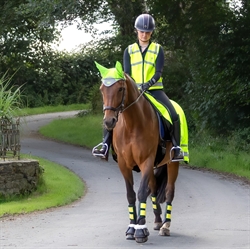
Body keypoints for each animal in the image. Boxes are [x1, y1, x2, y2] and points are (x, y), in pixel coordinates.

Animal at [97, 62, 182, 243]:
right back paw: (157, 221)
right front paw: (131, 228)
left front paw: (141, 230)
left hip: (172, 163)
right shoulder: (124, 164)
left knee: (169, 191)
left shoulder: (146, 161)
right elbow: (131, 194)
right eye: (102, 89)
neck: (132, 124)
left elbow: (142, 192)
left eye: (120, 88)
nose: (109, 121)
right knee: (154, 189)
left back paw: (165, 226)